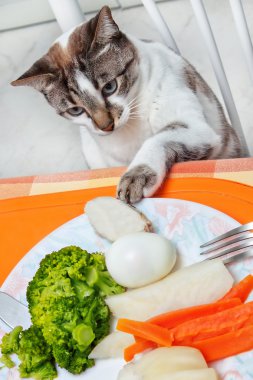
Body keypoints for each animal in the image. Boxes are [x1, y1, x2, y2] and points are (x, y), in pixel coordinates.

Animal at [11, 5, 241, 203]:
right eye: (76, 110)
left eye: (110, 87)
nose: (106, 126)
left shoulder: (198, 129)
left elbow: (158, 139)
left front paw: (135, 178)